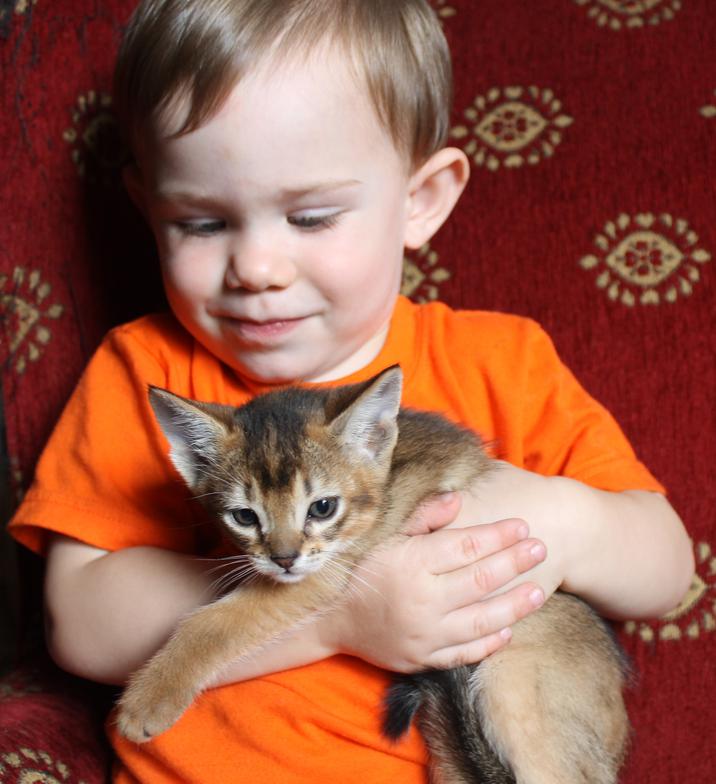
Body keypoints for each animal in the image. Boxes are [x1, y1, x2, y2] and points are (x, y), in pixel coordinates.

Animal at [116, 368, 628, 784]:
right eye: (244, 516)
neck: (385, 473)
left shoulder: (326, 571)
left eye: (322, 507)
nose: (284, 558)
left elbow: (212, 622)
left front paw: (147, 701)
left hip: (514, 686)